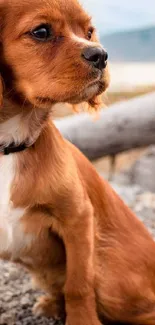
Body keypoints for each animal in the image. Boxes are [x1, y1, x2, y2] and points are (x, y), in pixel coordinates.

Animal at [0, 0, 155, 324]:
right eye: (41, 31)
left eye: (88, 32)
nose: (101, 55)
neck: (9, 146)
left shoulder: (78, 216)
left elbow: (78, 284)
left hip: (108, 273)